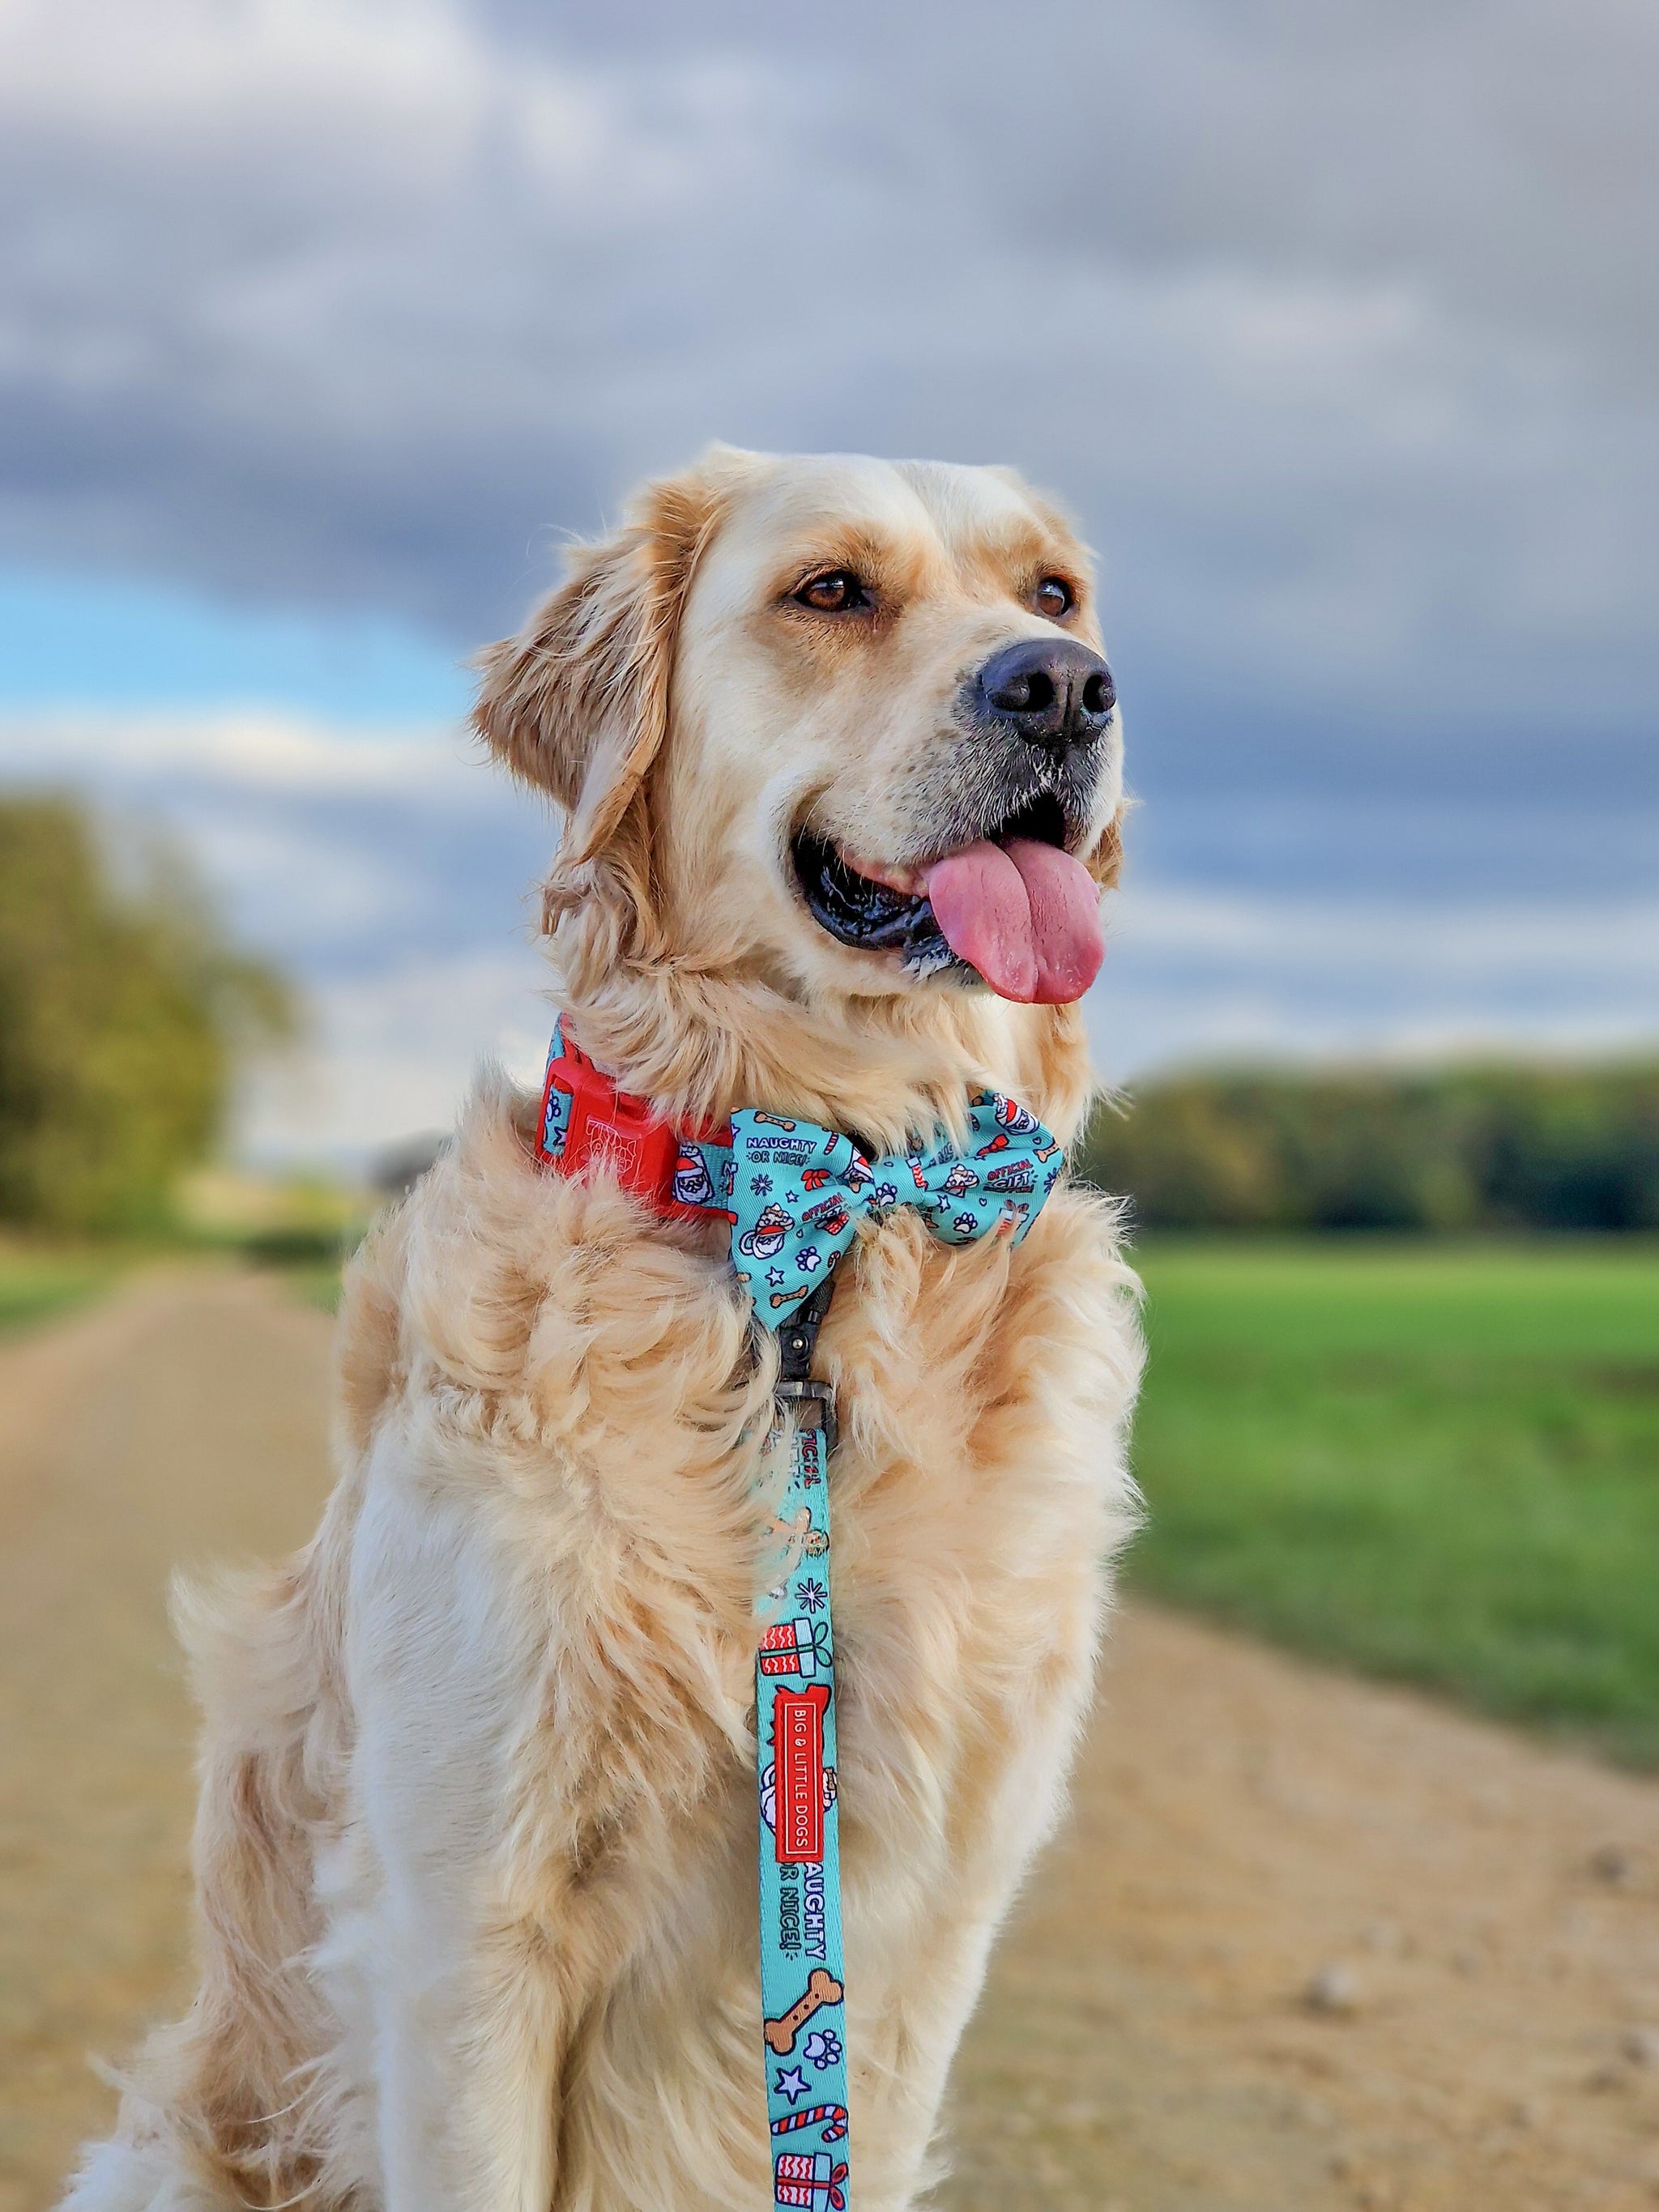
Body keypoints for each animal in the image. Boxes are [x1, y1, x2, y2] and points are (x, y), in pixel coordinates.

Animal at [68, 449, 1158, 2212]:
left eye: (1050, 593)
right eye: (830, 590)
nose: (1060, 688)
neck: (824, 1212)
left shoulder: (921, 1937)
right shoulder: (462, 1919)